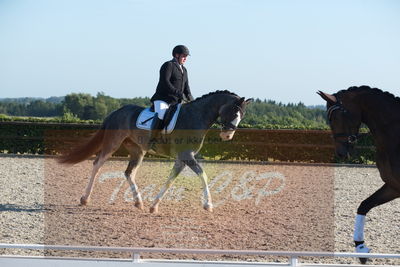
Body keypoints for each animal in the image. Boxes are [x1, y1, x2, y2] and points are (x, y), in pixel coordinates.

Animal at [58, 91, 253, 215]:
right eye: (233, 112)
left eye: (241, 115)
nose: (227, 135)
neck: (196, 117)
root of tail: (116, 112)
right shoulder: (187, 156)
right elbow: (203, 175)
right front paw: (208, 205)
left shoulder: (182, 158)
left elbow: (170, 180)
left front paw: (154, 206)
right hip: (112, 144)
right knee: (97, 164)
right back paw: (85, 199)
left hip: (138, 150)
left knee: (128, 173)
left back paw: (139, 202)